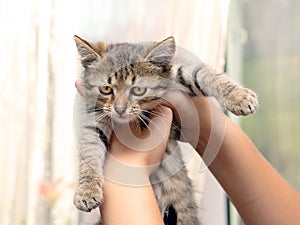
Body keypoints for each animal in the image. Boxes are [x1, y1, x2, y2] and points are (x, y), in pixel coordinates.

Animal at [72, 35, 258, 223]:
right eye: (106, 89)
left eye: (138, 90)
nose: (119, 109)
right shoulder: (94, 121)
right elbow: (89, 153)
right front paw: (86, 191)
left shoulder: (179, 72)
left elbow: (207, 74)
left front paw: (239, 96)